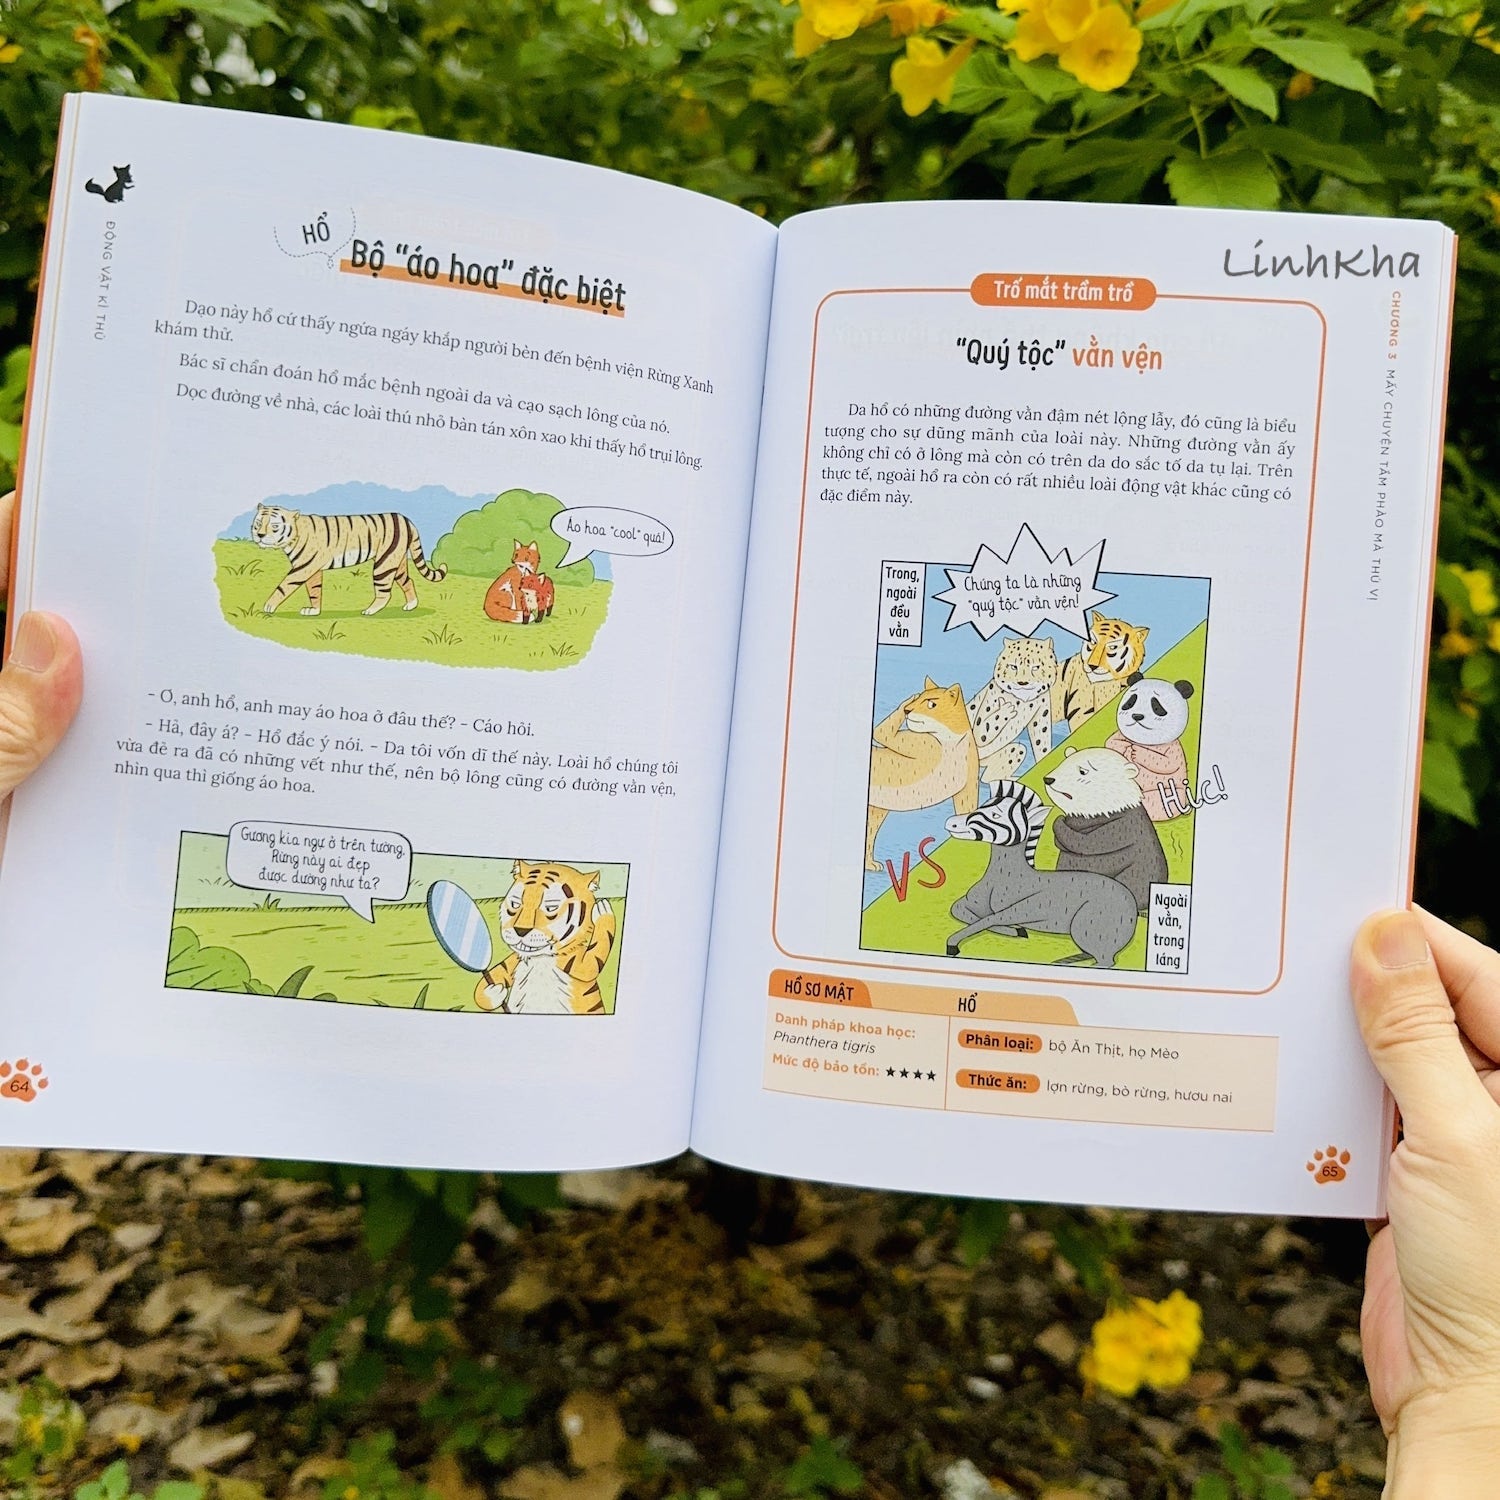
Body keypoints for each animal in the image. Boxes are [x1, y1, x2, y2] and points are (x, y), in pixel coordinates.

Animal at [250, 505, 446, 615]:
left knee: (384, 592)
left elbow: (283, 587)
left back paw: (370, 611)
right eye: (258, 524)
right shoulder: (312, 569)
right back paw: (411, 605)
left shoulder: (302, 568)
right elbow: (314, 591)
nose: (259, 535)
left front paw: (268, 606)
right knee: (408, 581)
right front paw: (314, 611)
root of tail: (406, 520)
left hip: (384, 564)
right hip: (397, 562)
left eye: (275, 526)